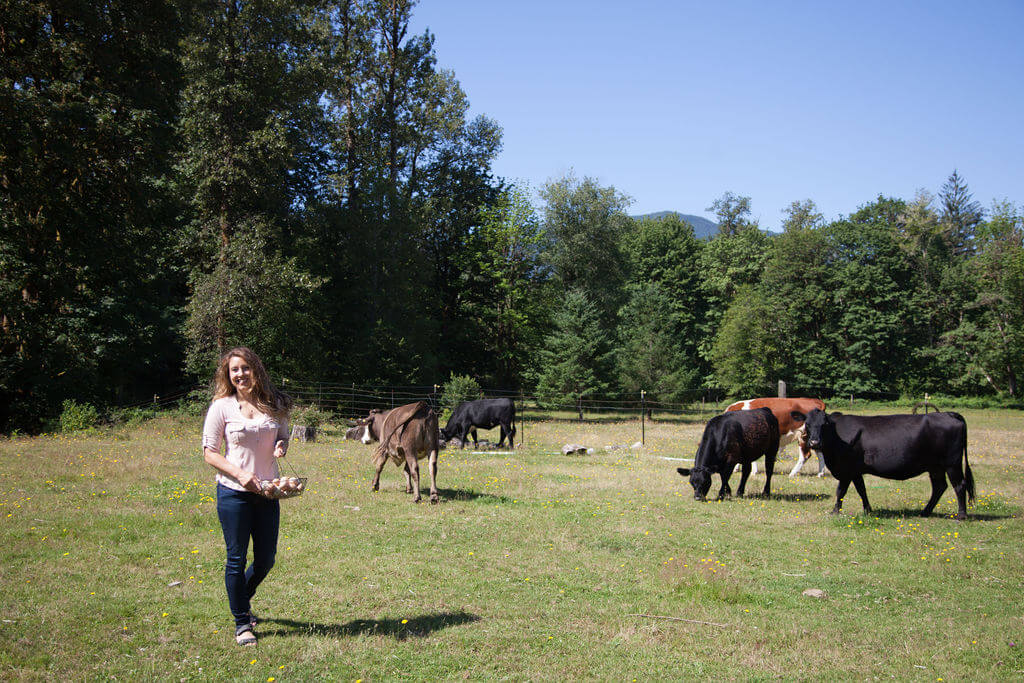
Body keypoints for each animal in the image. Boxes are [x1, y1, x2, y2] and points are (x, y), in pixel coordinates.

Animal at [798, 411, 974, 518]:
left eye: (824, 424)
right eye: (807, 424)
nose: (814, 442)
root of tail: (948, 414)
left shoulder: (847, 470)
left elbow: (841, 491)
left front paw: (835, 511)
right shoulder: (856, 471)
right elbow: (862, 490)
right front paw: (868, 510)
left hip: (952, 464)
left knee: (959, 485)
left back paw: (961, 515)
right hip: (935, 467)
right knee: (939, 487)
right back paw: (925, 511)